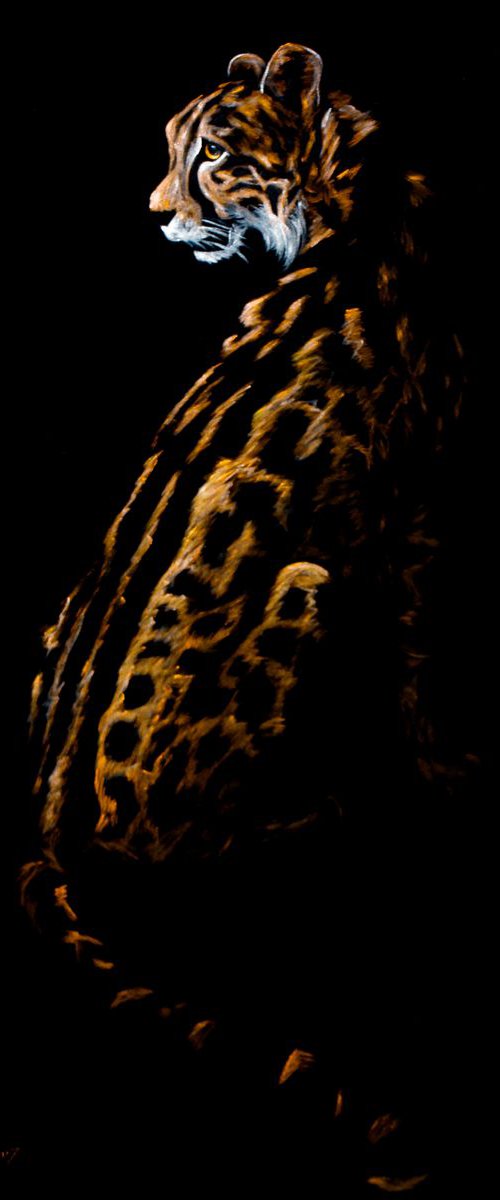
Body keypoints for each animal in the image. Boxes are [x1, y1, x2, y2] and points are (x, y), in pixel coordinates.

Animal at [19, 43, 463, 1186]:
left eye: (212, 153)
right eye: (176, 144)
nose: (156, 212)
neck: (357, 193)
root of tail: (49, 825)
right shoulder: (410, 520)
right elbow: (421, 677)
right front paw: (443, 771)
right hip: (308, 584)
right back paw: (321, 807)